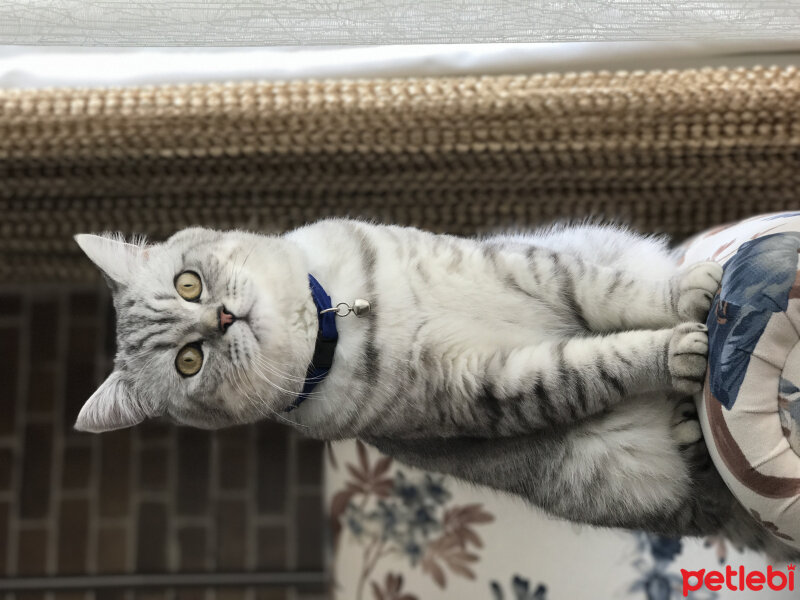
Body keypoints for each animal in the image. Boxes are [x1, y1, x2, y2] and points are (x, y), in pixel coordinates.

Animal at [73, 219, 792, 556]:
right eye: (189, 361)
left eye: (189, 284)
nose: (222, 319)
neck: (341, 317)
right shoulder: (494, 387)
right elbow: (594, 364)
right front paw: (674, 349)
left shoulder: (534, 266)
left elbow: (616, 294)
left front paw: (685, 293)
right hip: (628, 482)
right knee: (701, 493)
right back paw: (686, 426)